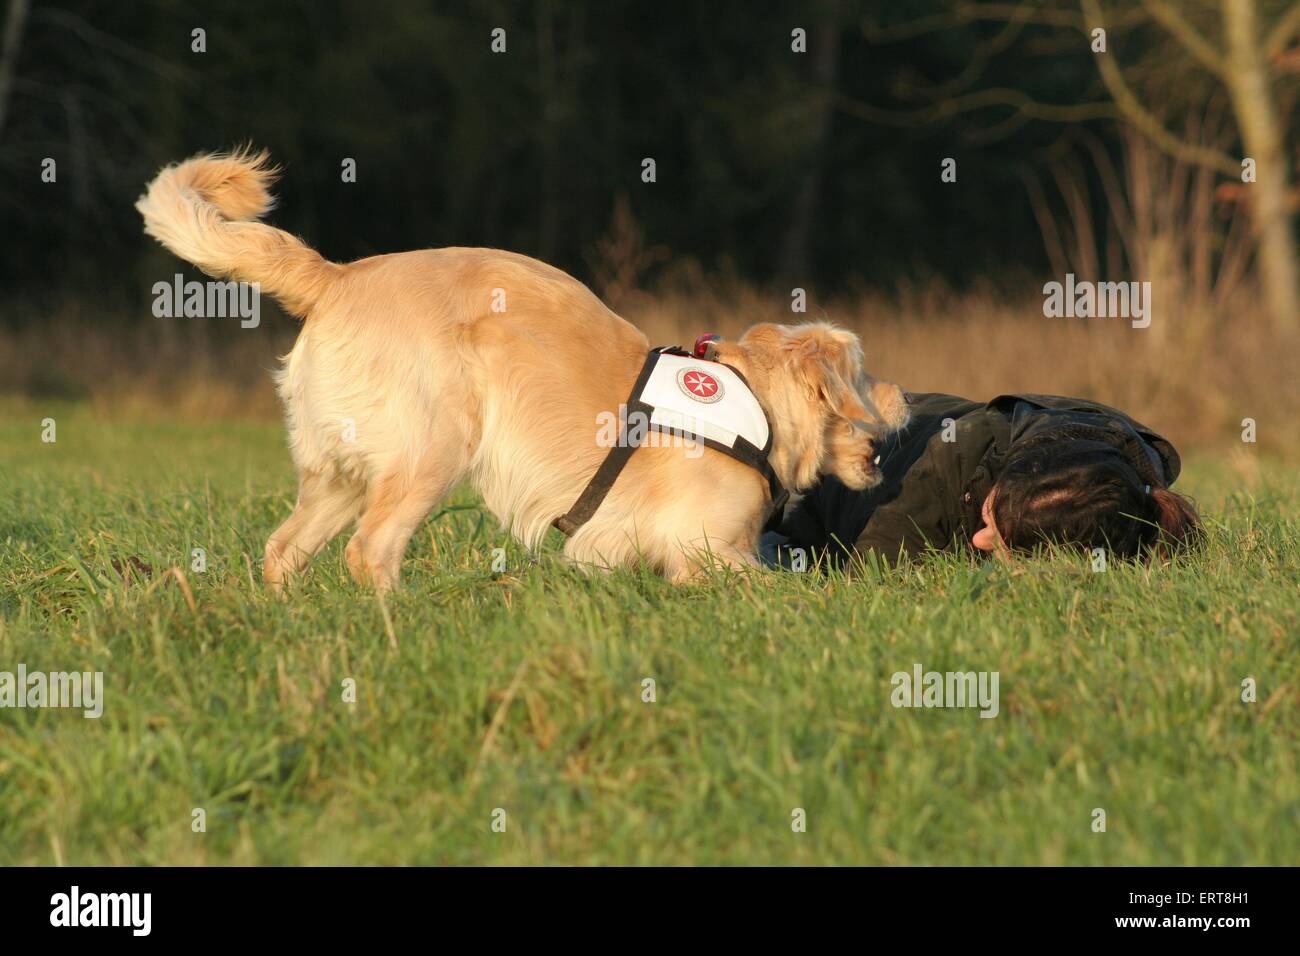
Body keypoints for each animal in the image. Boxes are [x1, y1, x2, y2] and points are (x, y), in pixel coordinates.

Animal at [137, 147, 909, 590]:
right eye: (866, 377)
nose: (903, 404)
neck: (760, 406)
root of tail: (338, 275)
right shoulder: (708, 551)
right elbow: (793, 589)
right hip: (432, 449)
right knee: (369, 552)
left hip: (342, 473)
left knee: (283, 549)